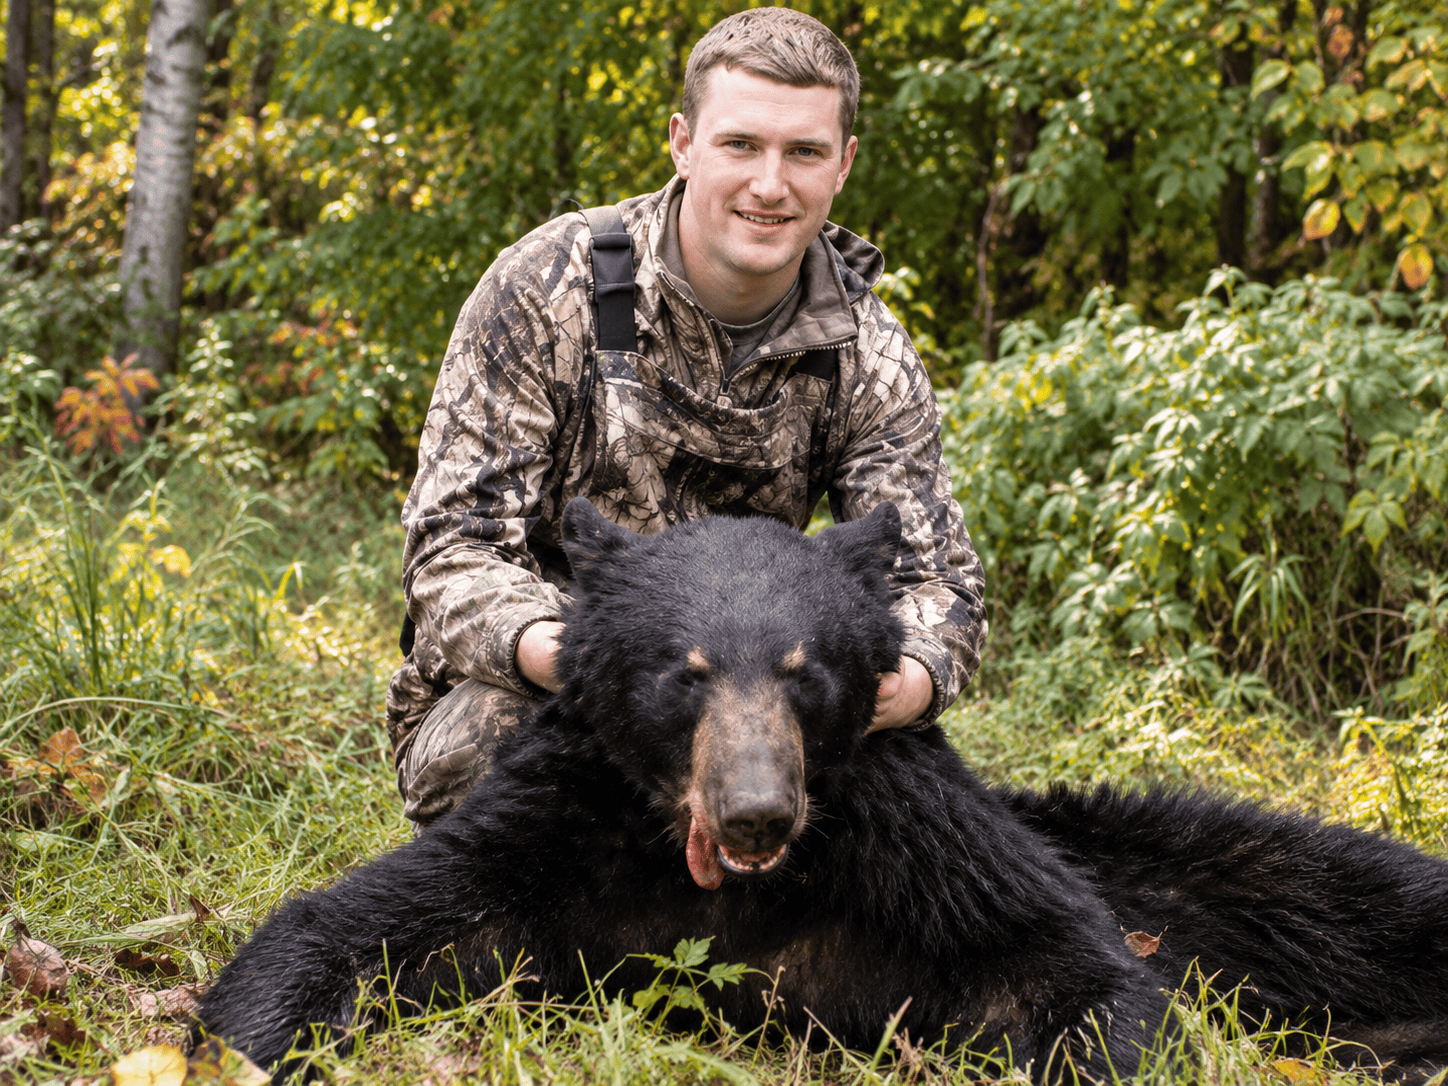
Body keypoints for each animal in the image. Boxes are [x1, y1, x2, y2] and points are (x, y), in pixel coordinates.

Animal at [194, 498, 1448, 1083]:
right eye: (685, 671)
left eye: (805, 671)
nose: (756, 810)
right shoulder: (553, 832)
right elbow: (364, 925)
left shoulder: (921, 848)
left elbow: (1076, 968)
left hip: (1285, 872)